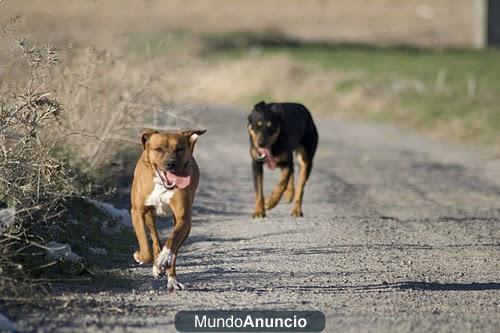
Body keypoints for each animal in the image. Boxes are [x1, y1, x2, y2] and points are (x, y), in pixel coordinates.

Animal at [131, 128, 207, 290]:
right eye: (158, 149)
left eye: (179, 149)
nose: (170, 164)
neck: (162, 185)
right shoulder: (137, 212)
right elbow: (146, 249)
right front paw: (140, 256)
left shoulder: (183, 218)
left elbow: (172, 241)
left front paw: (163, 260)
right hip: (149, 217)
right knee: (154, 239)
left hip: (186, 226)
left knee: (175, 250)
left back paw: (171, 278)